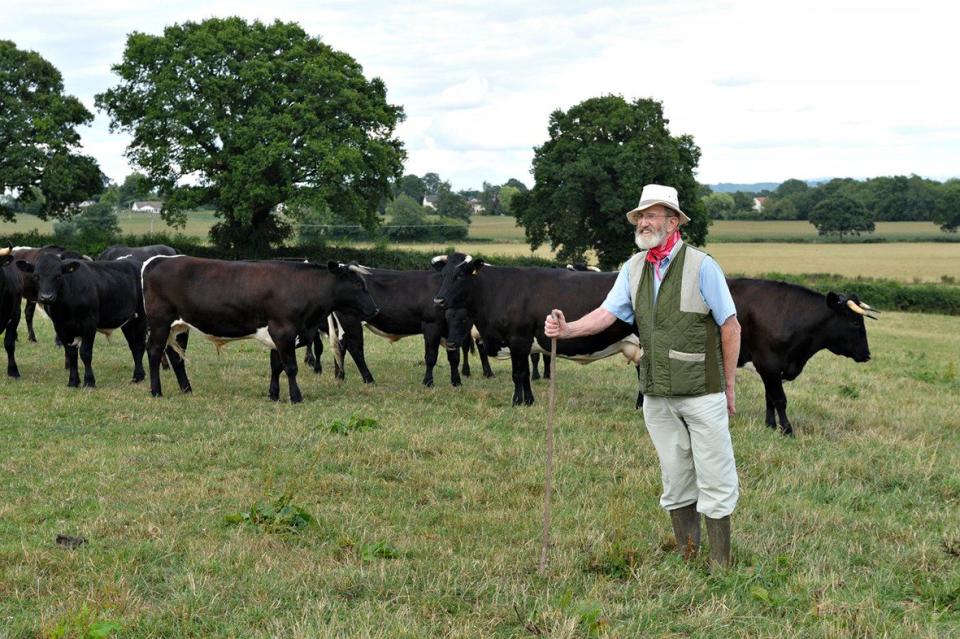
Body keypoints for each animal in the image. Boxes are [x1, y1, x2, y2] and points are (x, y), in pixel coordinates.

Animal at [142, 256, 378, 402]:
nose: (375, 309)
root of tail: (160, 260)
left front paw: (273, 395)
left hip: (179, 327)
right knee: (154, 352)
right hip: (160, 322)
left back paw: (186, 389)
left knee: (175, 356)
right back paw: (156, 391)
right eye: (357, 285)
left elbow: (276, 366)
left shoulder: (280, 335)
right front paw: (296, 396)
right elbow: (290, 367)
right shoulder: (283, 330)